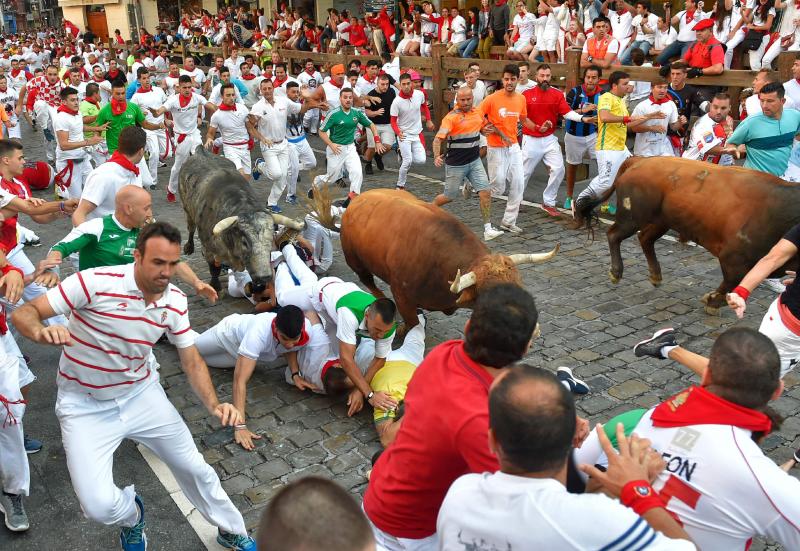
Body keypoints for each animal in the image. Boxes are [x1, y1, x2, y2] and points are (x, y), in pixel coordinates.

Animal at [180, 146, 304, 294]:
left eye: (270, 240)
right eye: (245, 242)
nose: (264, 277)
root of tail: (200, 150)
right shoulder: (209, 248)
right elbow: (214, 268)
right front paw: (215, 286)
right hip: (186, 208)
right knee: (190, 227)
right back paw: (188, 247)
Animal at [322, 190, 560, 328]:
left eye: (521, 288)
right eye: (490, 296)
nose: (532, 331)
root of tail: (357, 200)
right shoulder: (402, 295)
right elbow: (411, 323)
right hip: (355, 260)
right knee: (368, 281)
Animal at [592, 157, 800, 312]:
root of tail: (640, 160)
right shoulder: (734, 259)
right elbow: (731, 283)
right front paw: (711, 300)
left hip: (661, 221)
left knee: (644, 239)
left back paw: (656, 275)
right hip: (632, 217)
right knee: (613, 235)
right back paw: (616, 272)